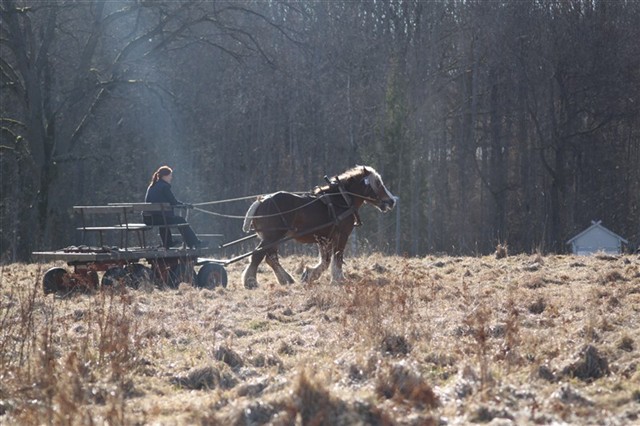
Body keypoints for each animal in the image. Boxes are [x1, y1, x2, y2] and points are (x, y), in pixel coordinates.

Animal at [241, 165, 396, 288]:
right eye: (378, 183)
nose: (391, 201)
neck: (341, 199)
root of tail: (261, 202)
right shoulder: (341, 235)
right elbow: (337, 257)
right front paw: (338, 279)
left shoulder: (323, 238)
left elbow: (325, 261)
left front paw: (309, 274)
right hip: (272, 237)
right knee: (258, 255)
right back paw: (251, 281)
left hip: (274, 238)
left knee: (270, 258)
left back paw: (286, 279)